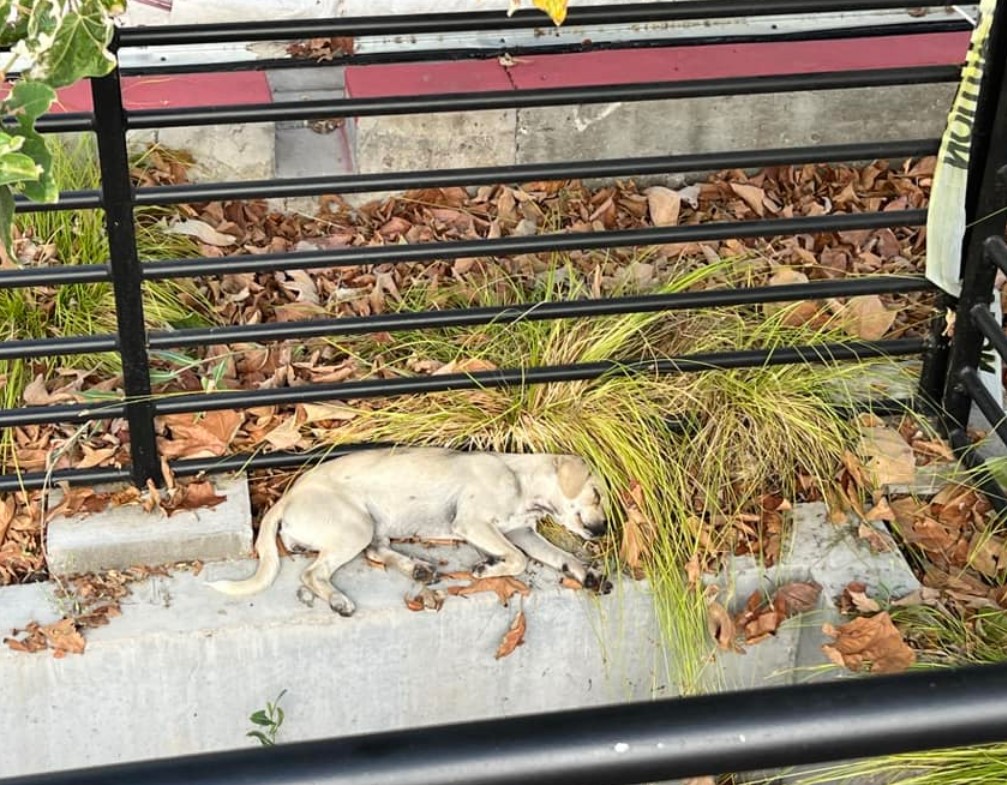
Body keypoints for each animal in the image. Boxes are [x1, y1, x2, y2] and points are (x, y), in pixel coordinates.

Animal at [208, 446, 608, 611]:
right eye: (597, 494)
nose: (604, 530)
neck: (520, 481)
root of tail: (286, 498)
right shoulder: (474, 523)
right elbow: (518, 560)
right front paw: (487, 567)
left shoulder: (522, 532)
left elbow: (558, 555)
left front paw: (587, 573)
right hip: (356, 525)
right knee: (312, 573)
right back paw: (339, 600)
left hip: (373, 525)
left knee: (375, 551)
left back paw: (417, 568)